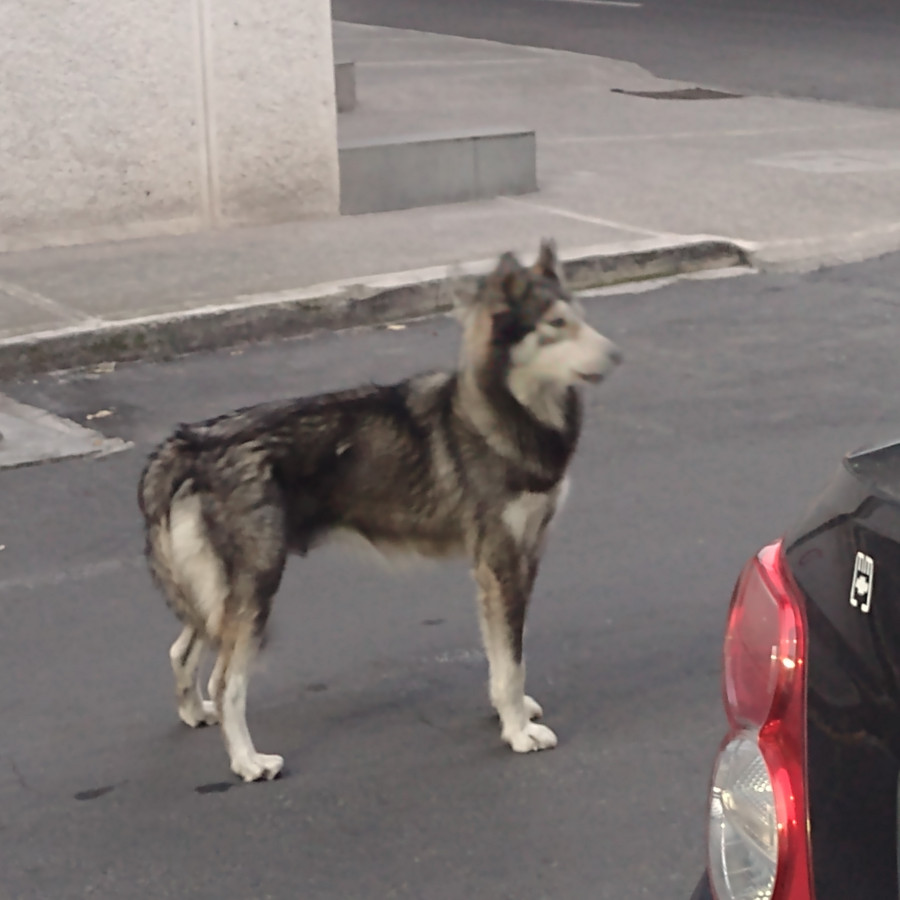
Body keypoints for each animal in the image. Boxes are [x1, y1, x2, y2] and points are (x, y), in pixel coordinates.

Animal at [139, 243, 620, 784]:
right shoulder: (501, 564)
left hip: (219, 594)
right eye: (557, 323)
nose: (616, 354)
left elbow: (501, 657)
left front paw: (507, 714)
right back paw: (247, 761)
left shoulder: (516, 560)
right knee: (226, 683)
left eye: (582, 318)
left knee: (184, 650)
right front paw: (518, 733)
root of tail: (192, 441)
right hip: (256, 586)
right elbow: (511, 662)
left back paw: (196, 713)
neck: (505, 413)